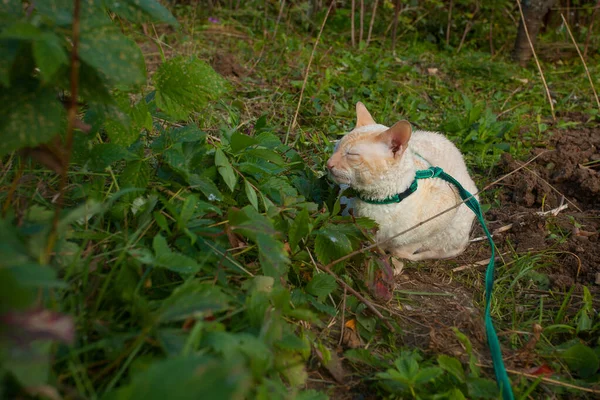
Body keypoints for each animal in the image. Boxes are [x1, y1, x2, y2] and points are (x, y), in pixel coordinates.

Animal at [326, 101, 476, 274]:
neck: (377, 202)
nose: (328, 163)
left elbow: (401, 250)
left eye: (352, 155)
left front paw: (393, 264)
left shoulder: (444, 211)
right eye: (336, 147)